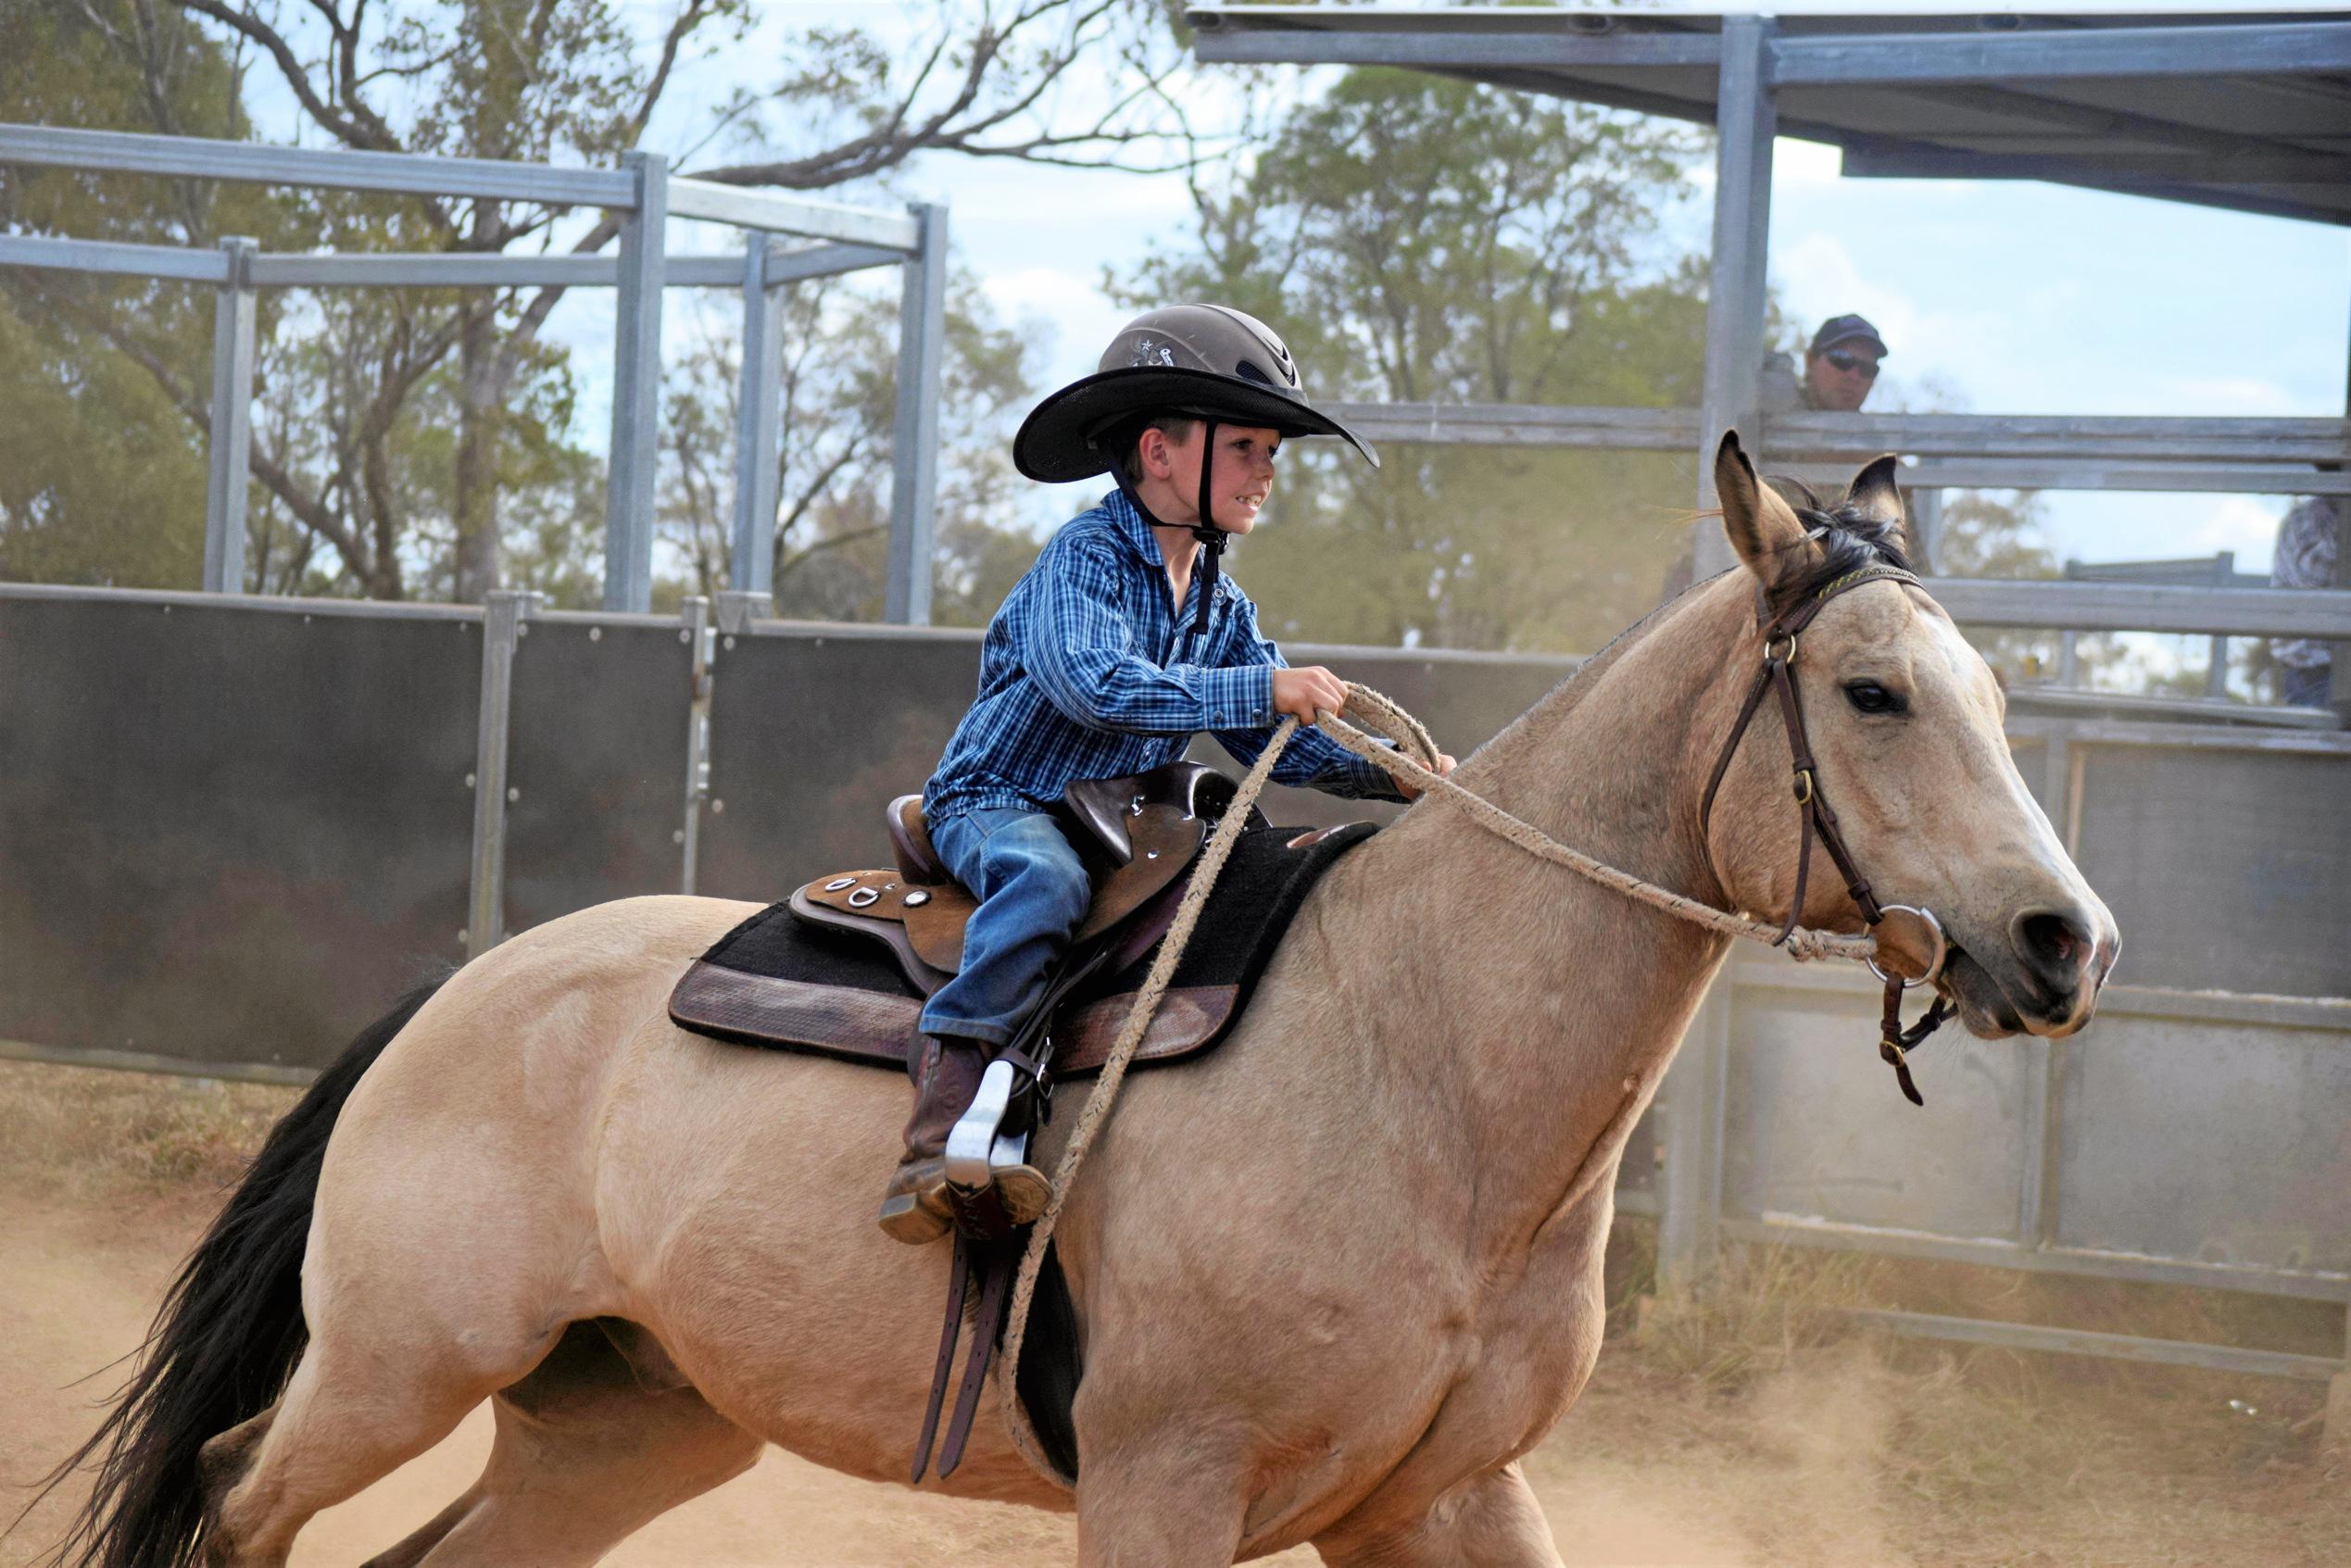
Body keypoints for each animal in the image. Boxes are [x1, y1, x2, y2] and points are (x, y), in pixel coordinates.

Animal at [50, 439, 2116, 1568]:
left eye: (1996, 695)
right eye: (1870, 694)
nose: (2064, 939)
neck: (1428, 1073)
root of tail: (460, 991)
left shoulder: (1446, 1493)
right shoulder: (1160, 1484)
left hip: (623, 1415)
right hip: (396, 1362)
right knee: (233, 1497)